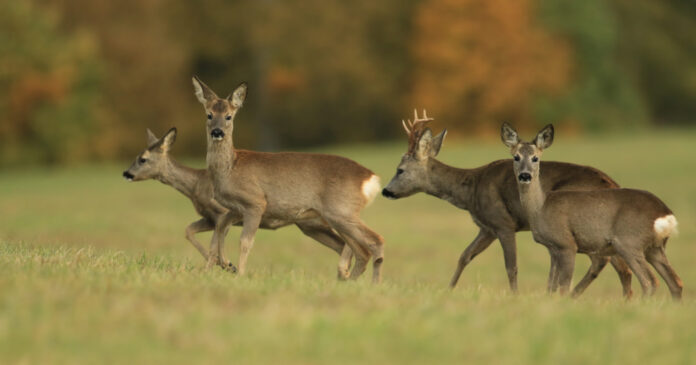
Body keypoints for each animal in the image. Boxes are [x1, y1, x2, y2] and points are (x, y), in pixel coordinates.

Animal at [121, 126, 356, 274]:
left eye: (142, 159)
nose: (126, 173)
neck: (196, 184)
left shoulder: (222, 212)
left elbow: (216, 241)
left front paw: (225, 265)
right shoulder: (209, 217)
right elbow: (189, 230)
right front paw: (214, 268)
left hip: (317, 221)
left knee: (347, 240)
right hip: (310, 226)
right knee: (341, 243)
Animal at [190, 76, 386, 282]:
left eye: (228, 116)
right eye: (209, 115)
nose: (217, 132)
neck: (230, 168)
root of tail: (371, 178)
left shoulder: (255, 202)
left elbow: (245, 241)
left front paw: (240, 274)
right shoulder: (235, 208)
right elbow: (219, 229)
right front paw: (215, 268)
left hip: (341, 211)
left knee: (375, 241)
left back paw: (371, 284)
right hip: (335, 217)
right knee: (361, 251)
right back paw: (347, 280)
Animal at [384, 109, 632, 298]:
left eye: (400, 170)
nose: (386, 191)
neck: (471, 188)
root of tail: (613, 183)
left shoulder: (503, 223)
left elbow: (511, 267)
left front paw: (515, 296)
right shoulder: (487, 228)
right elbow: (464, 256)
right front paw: (449, 289)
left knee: (602, 262)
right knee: (622, 267)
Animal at [502, 122, 684, 298]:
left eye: (535, 158)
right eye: (516, 157)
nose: (525, 175)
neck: (540, 207)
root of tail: (665, 214)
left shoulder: (567, 243)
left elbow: (564, 286)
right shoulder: (553, 248)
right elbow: (551, 286)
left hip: (629, 242)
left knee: (650, 281)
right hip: (655, 248)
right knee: (676, 283)